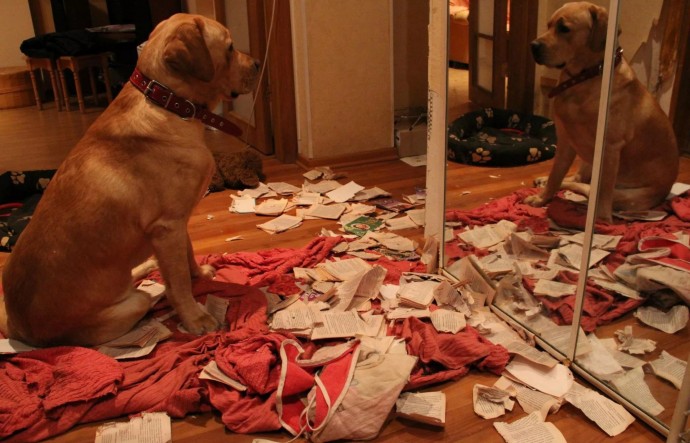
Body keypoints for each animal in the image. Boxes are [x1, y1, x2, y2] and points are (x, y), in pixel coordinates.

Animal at [0, 13, 258, 346]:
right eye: (229, 47)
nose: (257, 64)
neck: (168, 102)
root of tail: (17, 327)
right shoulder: (167, 228)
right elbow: (178, 284)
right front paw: (195, 317)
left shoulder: (176, 225)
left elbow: (187, 257)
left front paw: (198, 275)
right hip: (130, 304)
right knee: (148, 297)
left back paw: (147, 266)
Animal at [524, 0, 676, 222]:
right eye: (548, 25)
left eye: (564, 28)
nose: (533, 46)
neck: (583, 79)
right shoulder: (566, 141)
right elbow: (556, 174)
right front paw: (543, 197)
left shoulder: (610, 148)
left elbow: (603, 191)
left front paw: (603, 220)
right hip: (587, 160)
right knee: (577, 179)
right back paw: (544, 181)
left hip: (624, 193)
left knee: (589, 188)